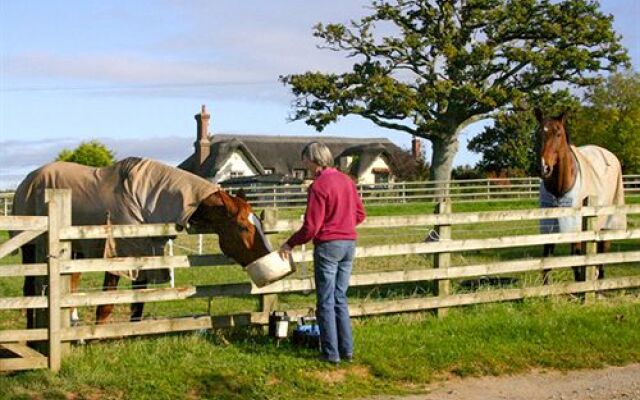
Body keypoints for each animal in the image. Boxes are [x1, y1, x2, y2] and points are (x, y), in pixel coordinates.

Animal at [13, 158, 272, 326]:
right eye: (244, 227)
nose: (268, 260)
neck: (143, 197)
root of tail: (27, 180)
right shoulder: (118, 257)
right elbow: (106, 306)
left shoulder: (144, 255)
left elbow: (138, 302)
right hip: (30, 247)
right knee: (30, 290)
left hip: (74, 250)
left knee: (71, 283)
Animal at [536, 109, 624, 284]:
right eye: (539, 133)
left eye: (558, 134)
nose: (545, 167)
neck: (560, 188)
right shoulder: (549, 226)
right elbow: (547, 261)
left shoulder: (574, 227)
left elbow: (575, 262)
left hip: (607, 221)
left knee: (603, 252)